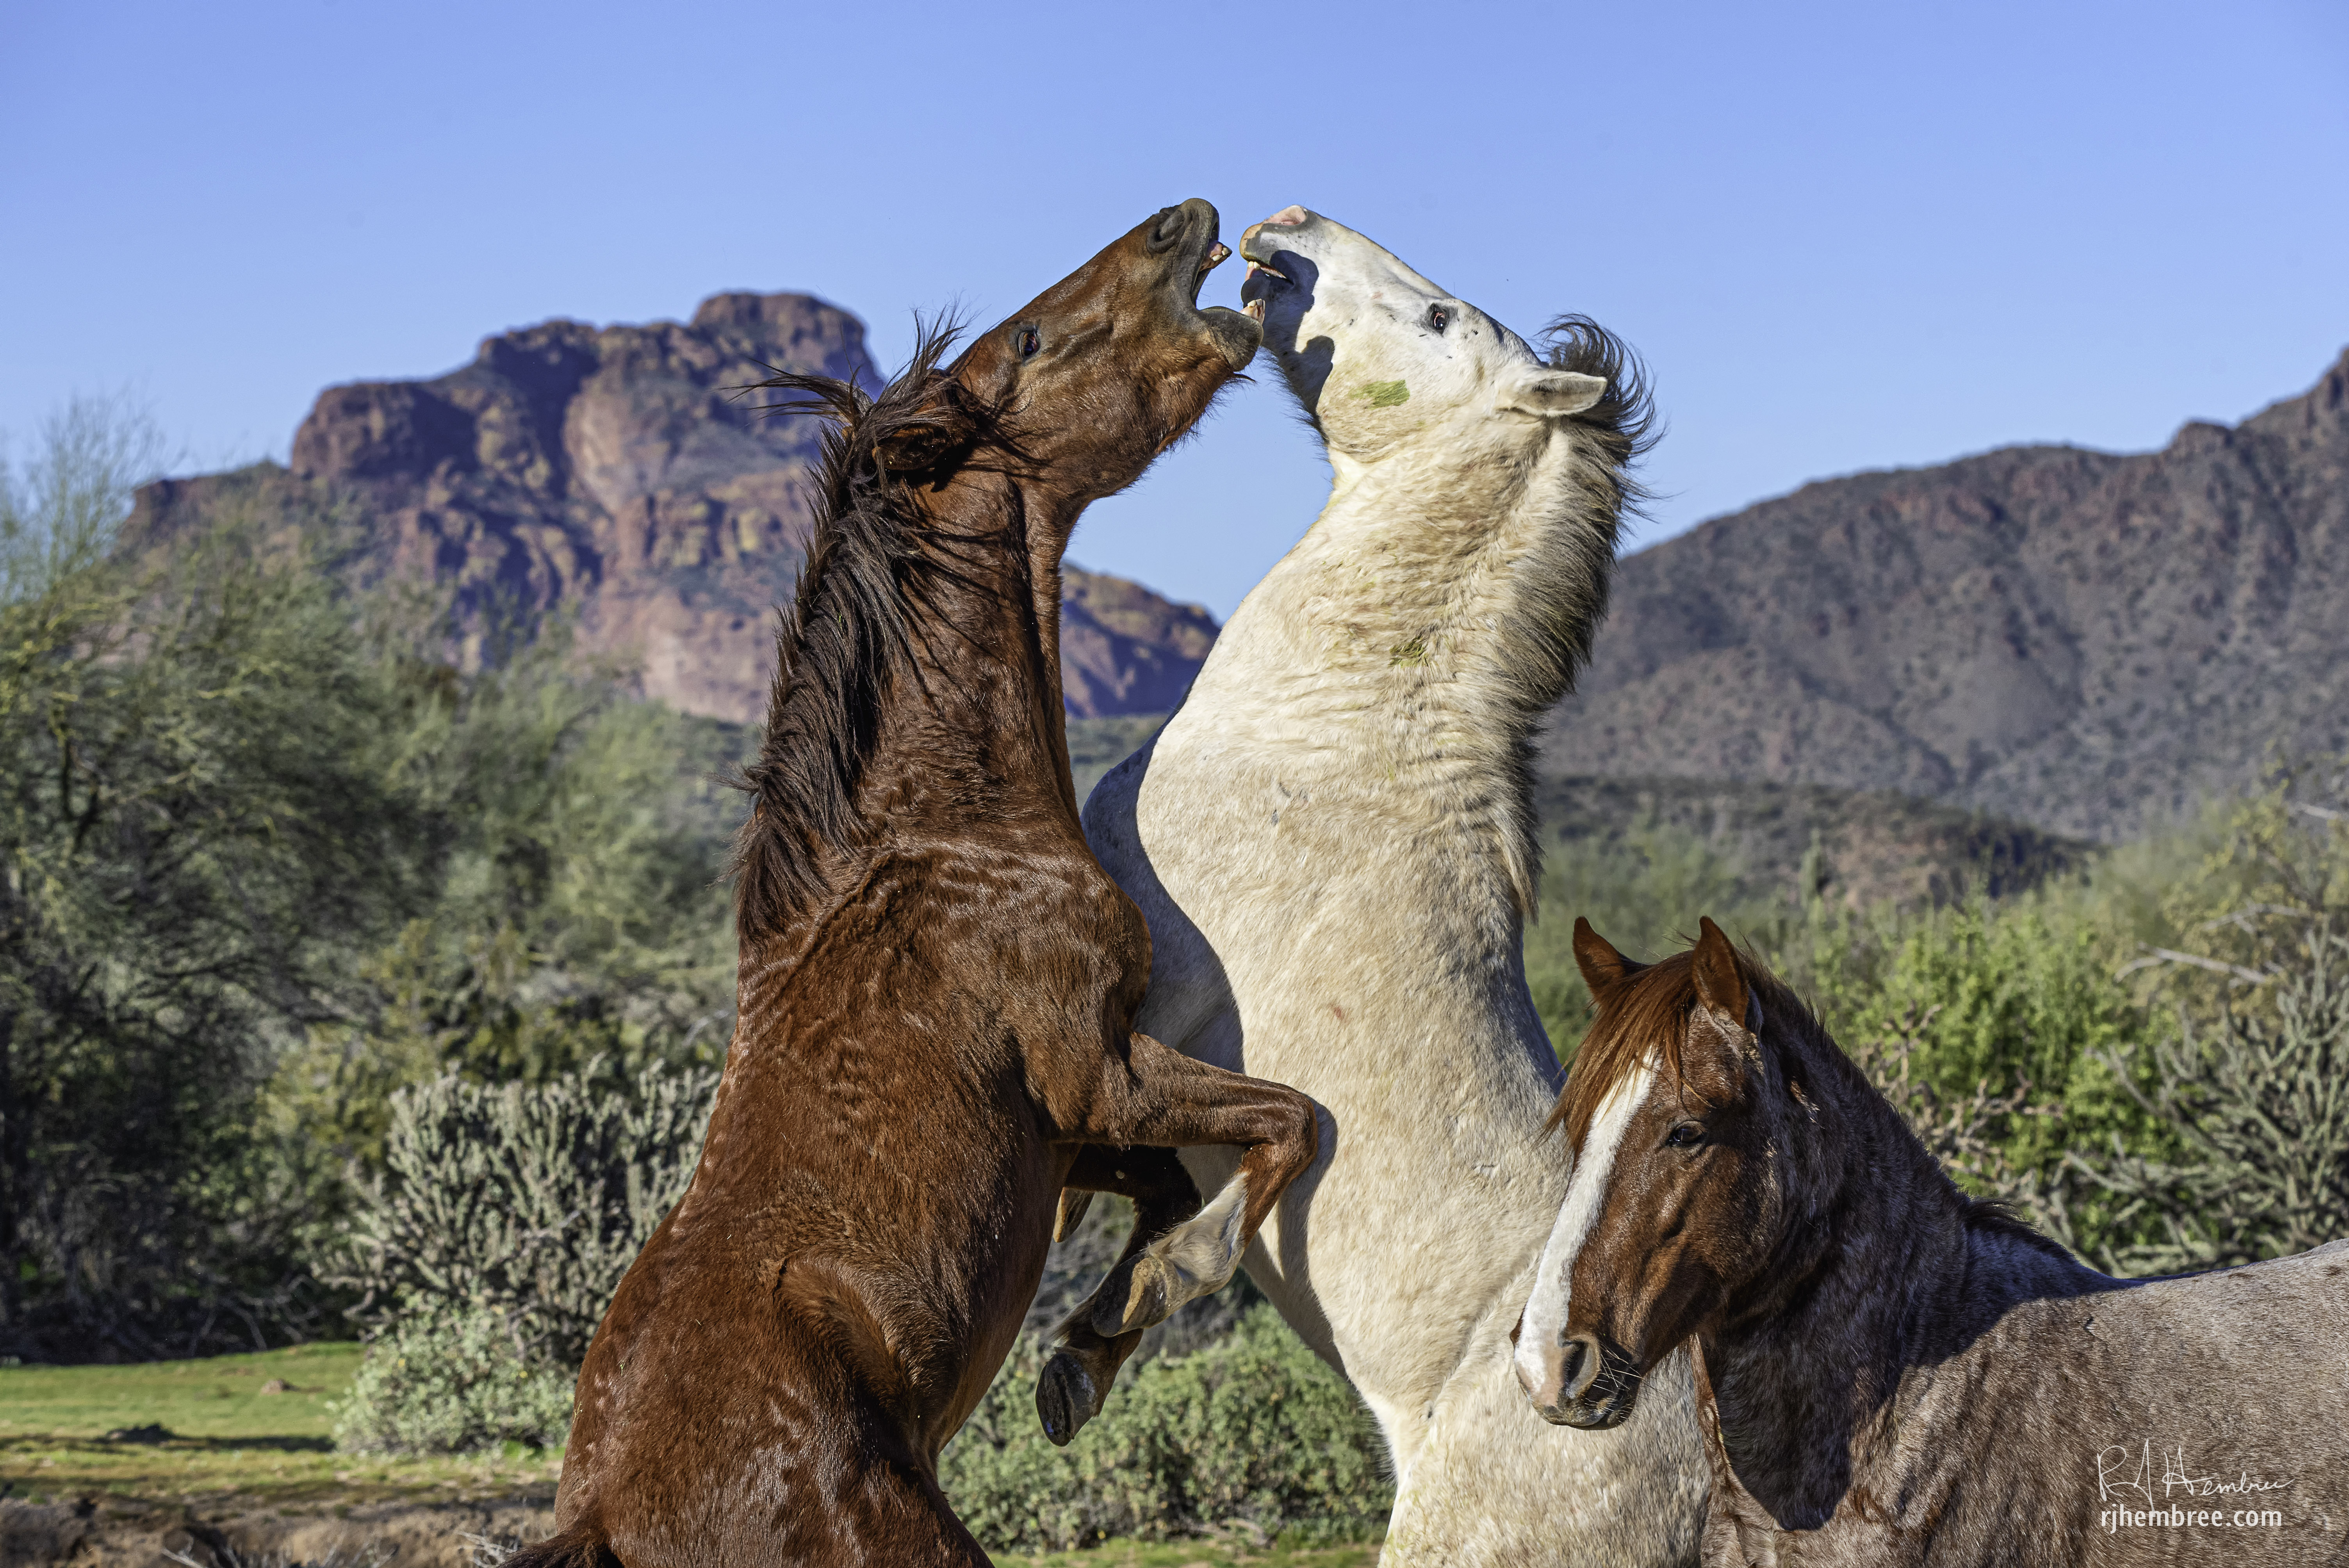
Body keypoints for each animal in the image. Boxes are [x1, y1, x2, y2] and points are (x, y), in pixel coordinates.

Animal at [509, 199, 1321, 1568]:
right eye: (1033, 338)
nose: (1185, 224)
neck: (949, 838)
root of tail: (606, 1517)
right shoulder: (1096, 1072)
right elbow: (1291, 1119)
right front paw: (1138, 1311)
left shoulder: (1077, 1130)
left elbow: (1179, 1176)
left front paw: (1086, 1348)